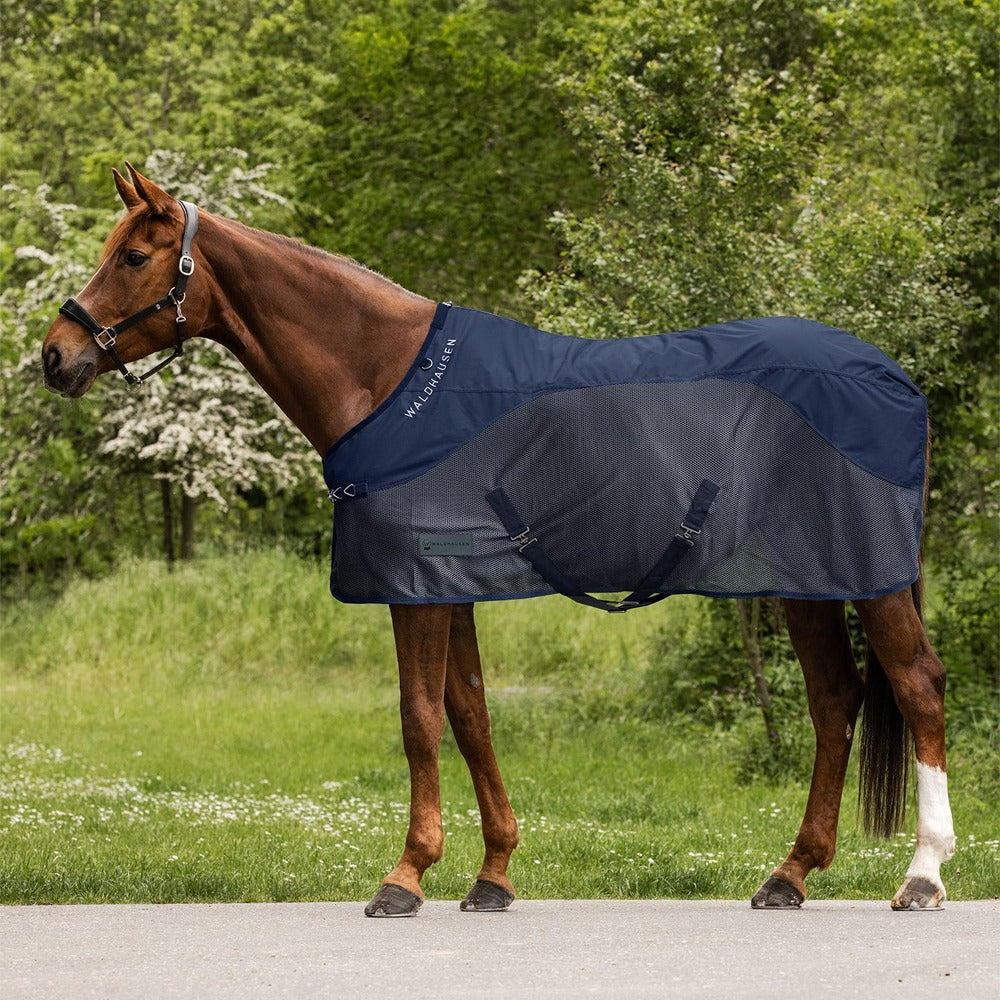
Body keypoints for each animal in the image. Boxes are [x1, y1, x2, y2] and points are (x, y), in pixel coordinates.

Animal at [41, 164, 956, 915]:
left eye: (134, 257)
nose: (55, 356)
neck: (388, 379)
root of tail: (892, 376)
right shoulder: (451, 589)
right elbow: (470, 713)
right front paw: (493, 874)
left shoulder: (413, 587)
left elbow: (418, 718)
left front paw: (405, 876)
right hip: (806, 581)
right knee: (835, 700)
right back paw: (789, 874)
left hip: (868, 579)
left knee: (917, 688)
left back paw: (922, 875)